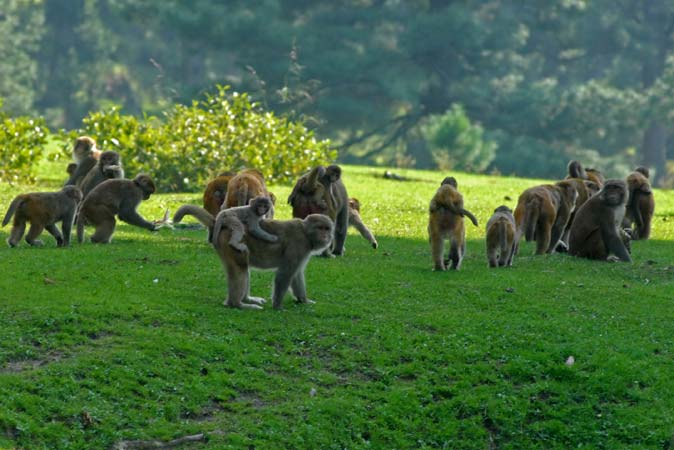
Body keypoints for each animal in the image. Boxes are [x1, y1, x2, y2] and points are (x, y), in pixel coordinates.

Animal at [172, 205, 334, 309]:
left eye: (327, 228)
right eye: (320, 228)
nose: (325, 236)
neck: (306, 234)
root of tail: (221, 222)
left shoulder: (303, 251)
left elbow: (296, 274)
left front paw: (303, 300)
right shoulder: (299, 245)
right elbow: (285, 274)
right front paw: (277, 306)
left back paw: (246, 299)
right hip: (230, 243)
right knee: (240, 269)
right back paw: (237, 304)